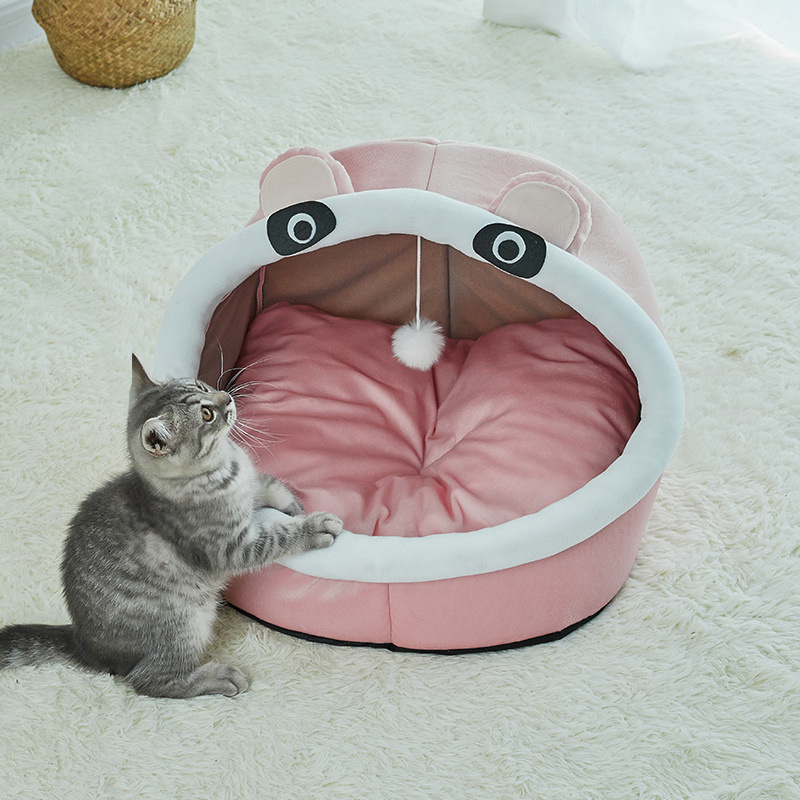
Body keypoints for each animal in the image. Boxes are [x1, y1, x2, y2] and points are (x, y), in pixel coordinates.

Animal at [0, 355, 342, 698]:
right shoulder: (229, 547)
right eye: (207, 414)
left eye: (203, 386)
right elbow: (276, 537)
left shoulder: (252, 485)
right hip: (185, 624)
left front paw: (294, 506)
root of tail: (85, 647)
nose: (227, 397)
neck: (227, 463)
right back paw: (218, 678)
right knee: (148, 681)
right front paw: (314, 526)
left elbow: (269, 485)